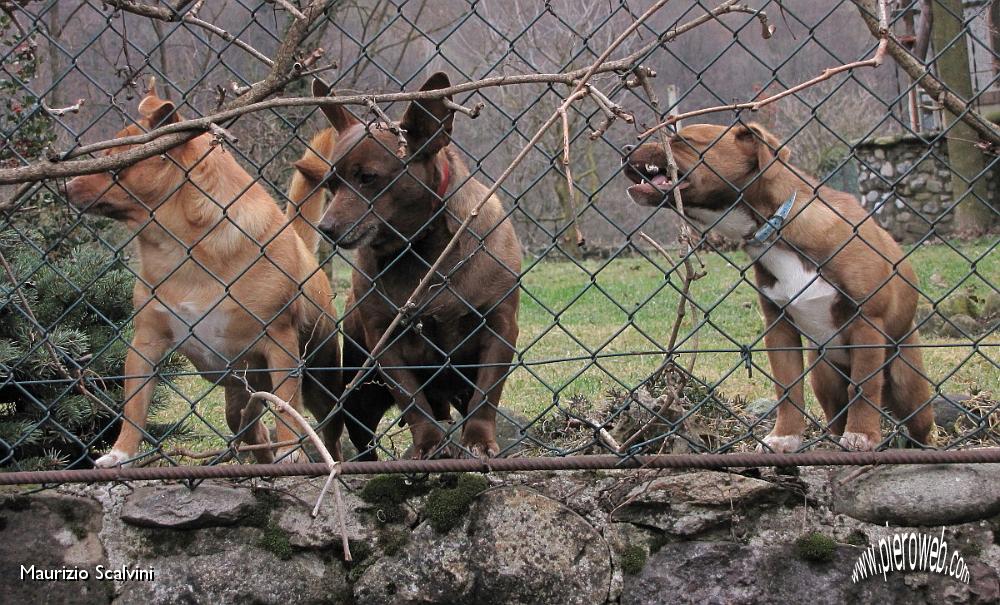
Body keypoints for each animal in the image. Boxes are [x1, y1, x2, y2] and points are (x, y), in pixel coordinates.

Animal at [66, 91, 342, 468]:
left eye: (115, 163)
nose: (65, 184)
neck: (181, 249)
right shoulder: (145, 346)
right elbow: (134, 410)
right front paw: (121, 453)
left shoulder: (280, 343)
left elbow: (286, 407)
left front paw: (290, 450)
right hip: (242, 392)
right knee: (251, 429)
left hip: (319, 380)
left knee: (326, 428)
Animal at [292, 72, 520, 458]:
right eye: (331, 184)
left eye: (368, 178)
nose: (326, 227)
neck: (418, 249)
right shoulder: (385, 343)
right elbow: (412, 401)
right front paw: (428, 444)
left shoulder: (499, 328)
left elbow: (486, 395)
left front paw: (478, 439)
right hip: (361, 395)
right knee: (361, 434)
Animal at [624, 122, 936, 450]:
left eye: (682, 140)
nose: (626, 149)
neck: (774, 225)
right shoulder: (779, 328)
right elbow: (788, 390)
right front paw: (785, 436)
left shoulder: (867, 323)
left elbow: (863, 388)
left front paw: (861, 434)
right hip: (825, 378)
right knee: (835, 416)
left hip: (909, 388)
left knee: (913, 423)